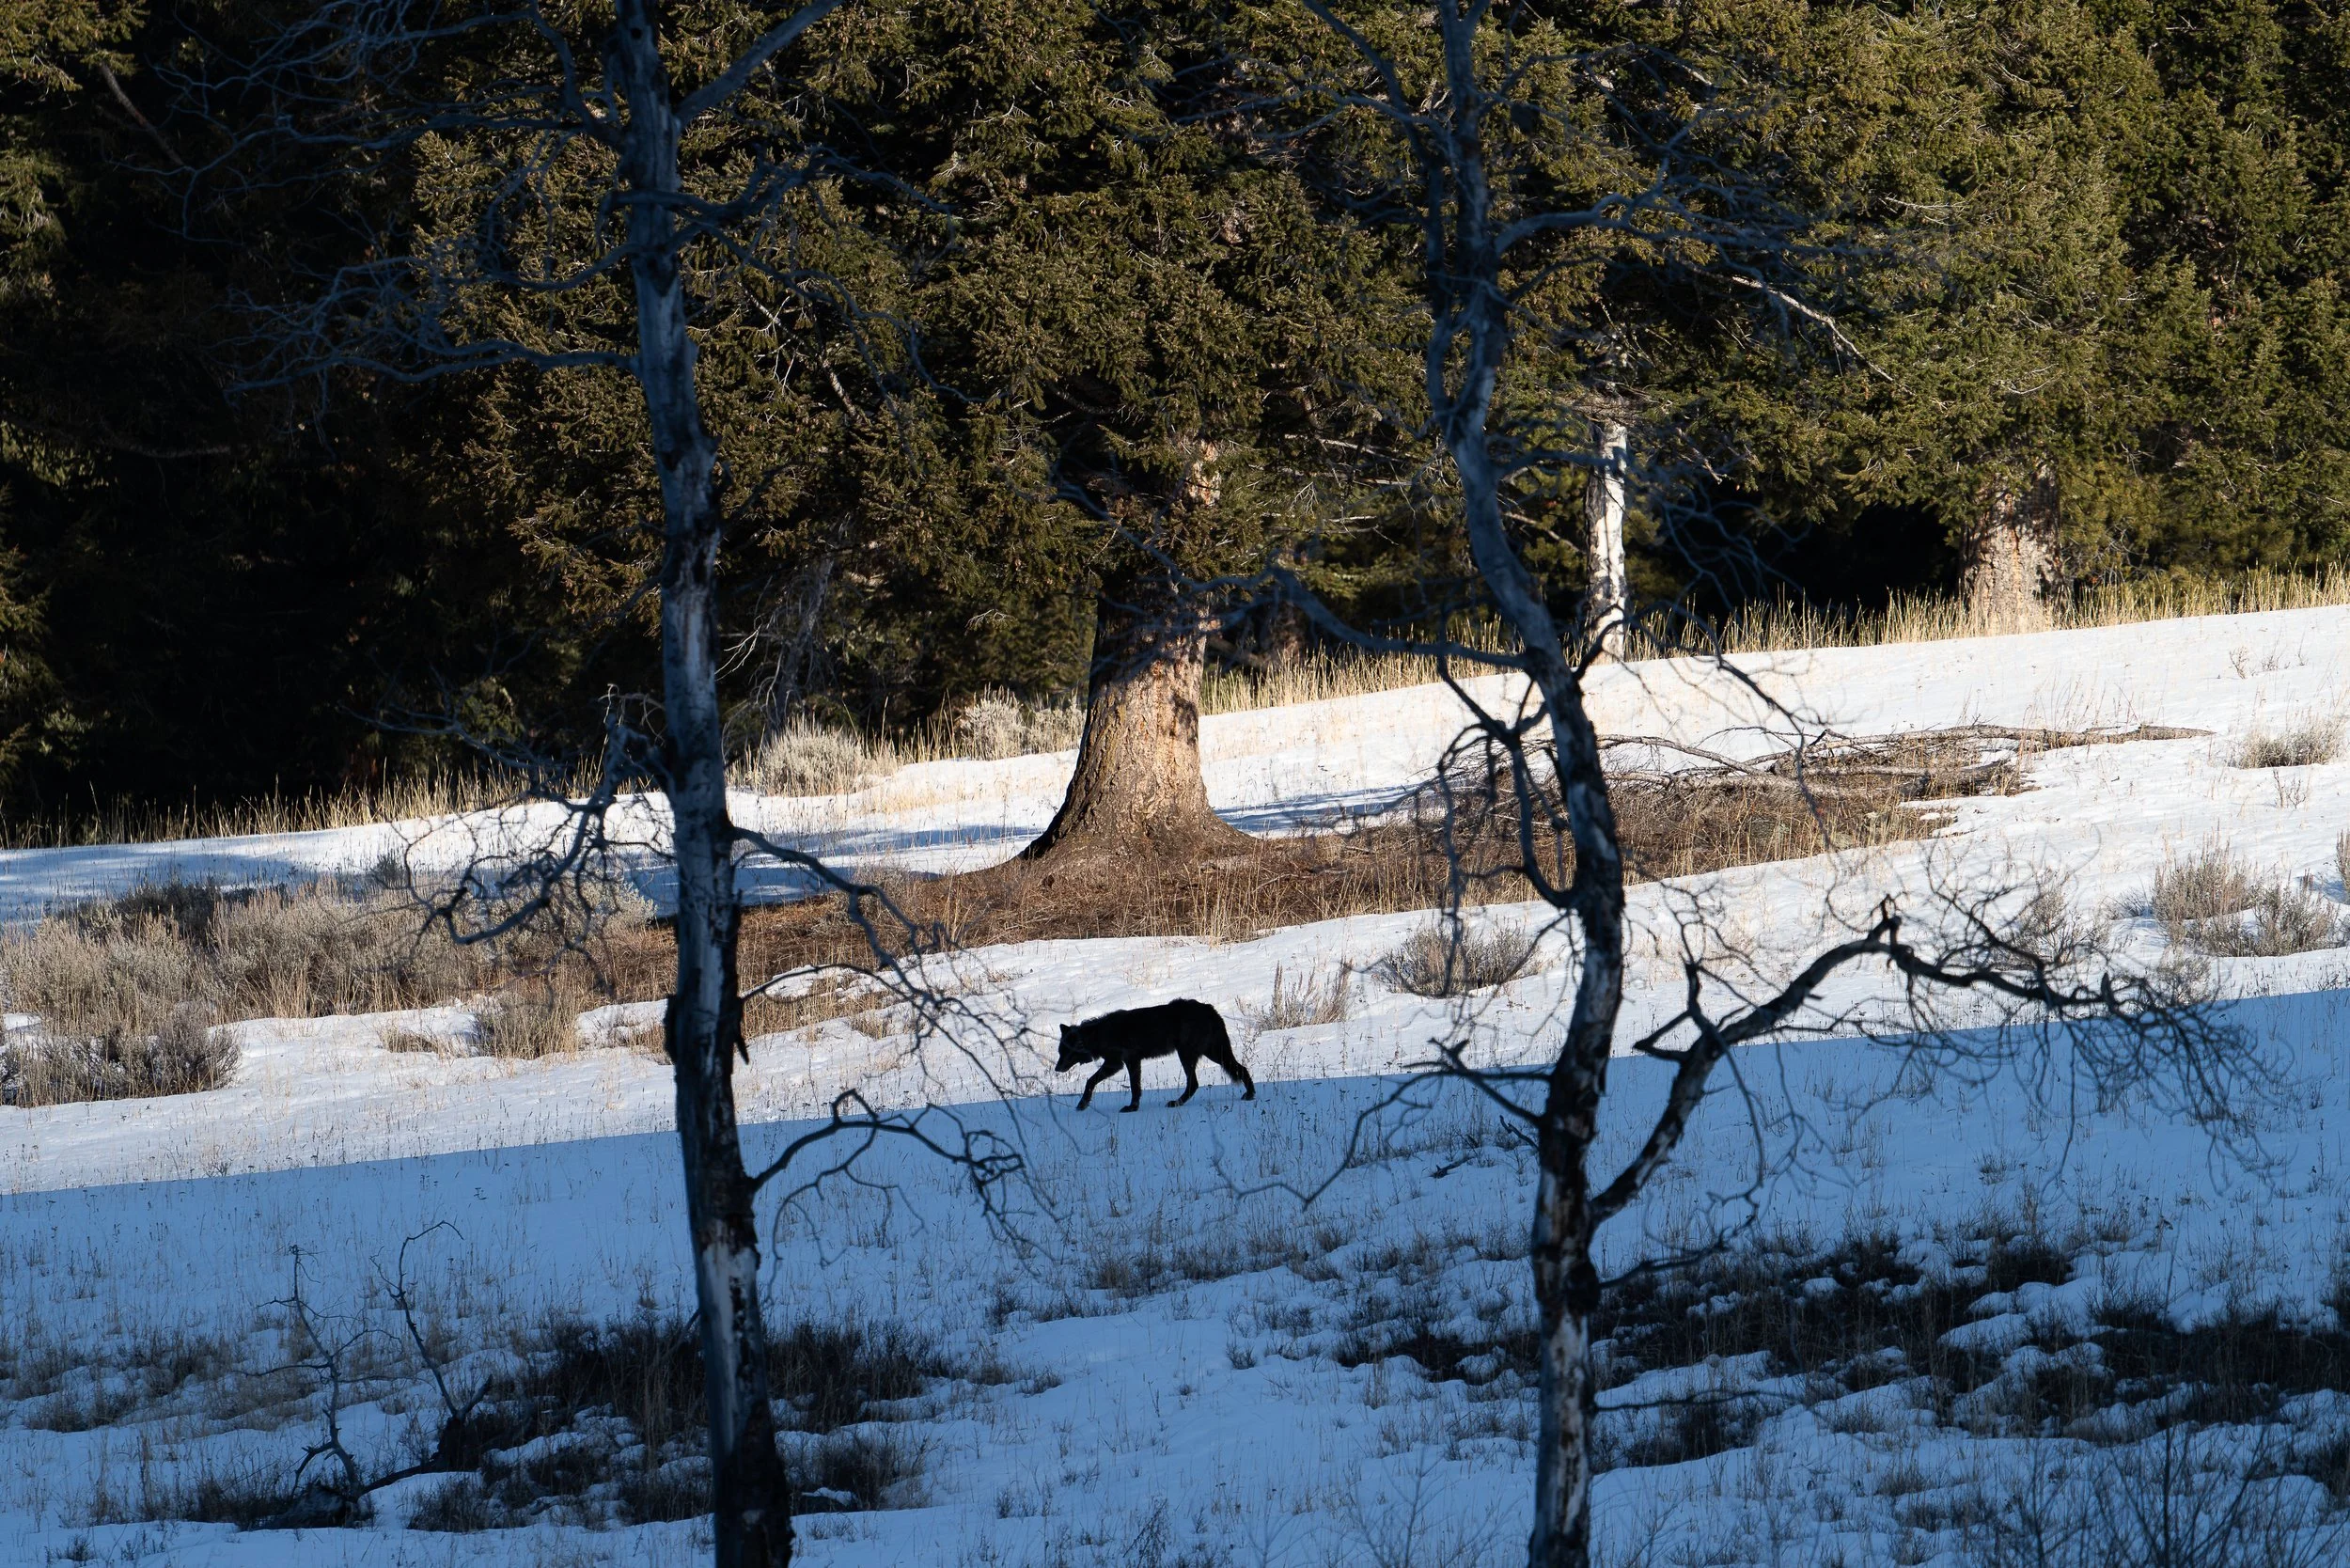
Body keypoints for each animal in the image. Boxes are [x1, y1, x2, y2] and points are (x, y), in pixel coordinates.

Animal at [1055, 998, 1256, 1112]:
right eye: (1060, 1052)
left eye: (1065, 1052)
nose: (1056, 1069)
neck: (1098, 1035)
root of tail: (1209, 1009)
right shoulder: (1128, 1063)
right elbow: (1133, 1087)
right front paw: (1133, 1107)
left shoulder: (1117, 1063)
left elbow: (1093, 1081)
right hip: (1214, 1053)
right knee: (1241, 1069)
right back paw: (1250, 1094)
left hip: (1189, 1055)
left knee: (1195, 1083)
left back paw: (1176, 1103)